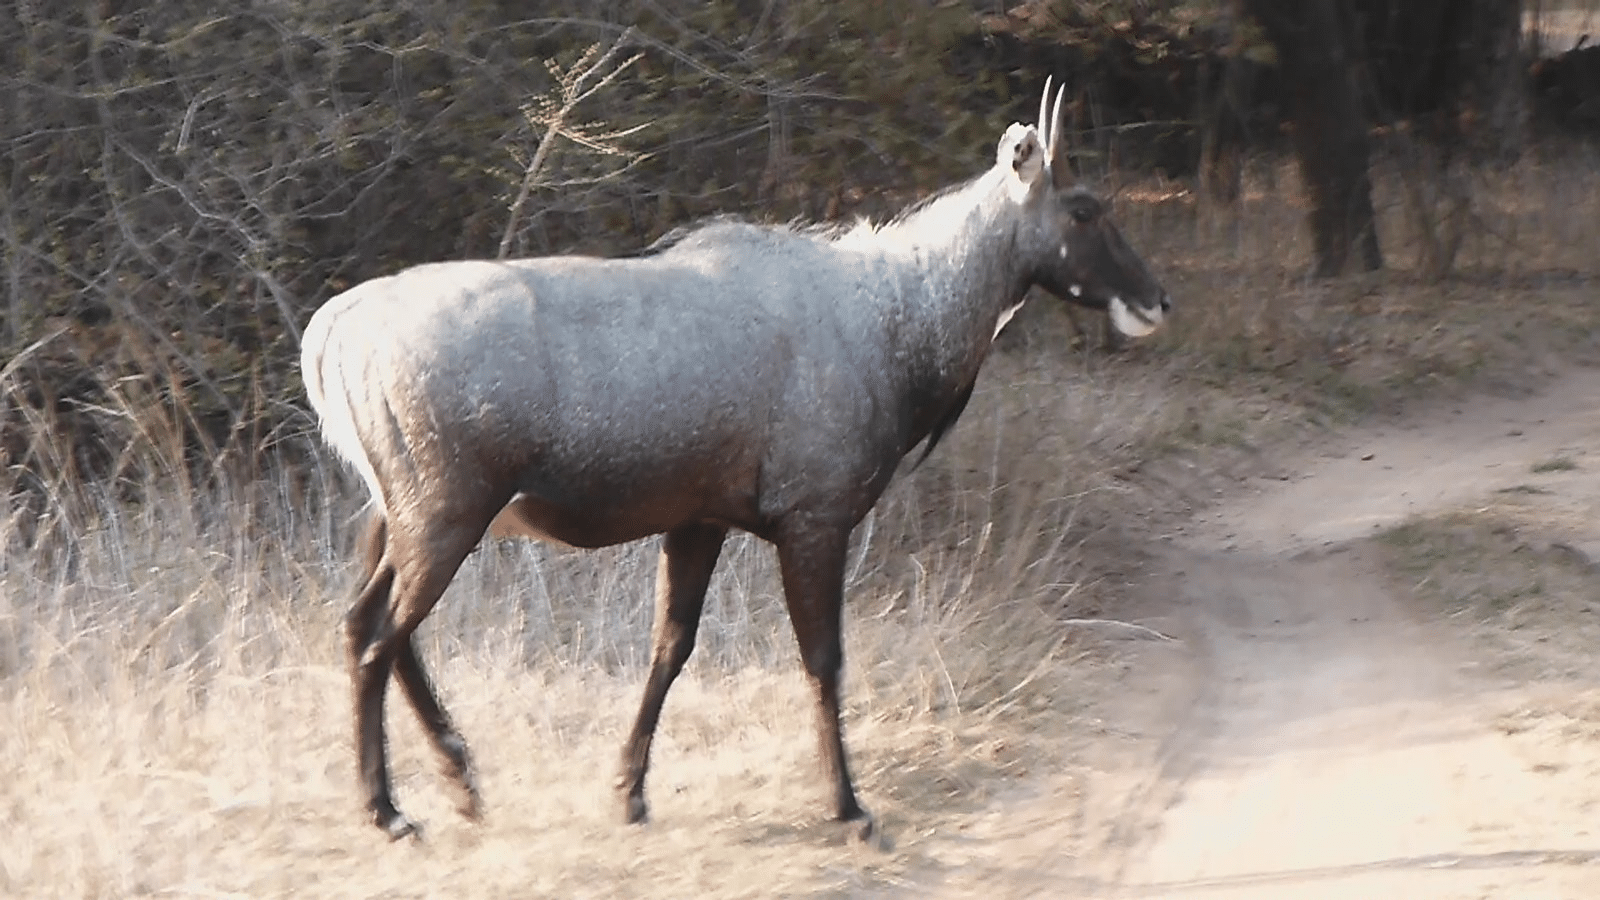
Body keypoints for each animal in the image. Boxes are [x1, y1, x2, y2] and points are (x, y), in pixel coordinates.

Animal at [302, 80, 1177, 845]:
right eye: (1084, 208)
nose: (1159, 299)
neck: (899, 323)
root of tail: (333, 329)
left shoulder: (701, 520)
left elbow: (670, 647)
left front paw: (629, 792)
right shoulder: (814, 517)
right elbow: (823, 659)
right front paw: (851, 809)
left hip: (398, 516)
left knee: (362, 624)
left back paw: (461, 781)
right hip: (446, 512)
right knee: (378, 637)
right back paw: (390, 812)